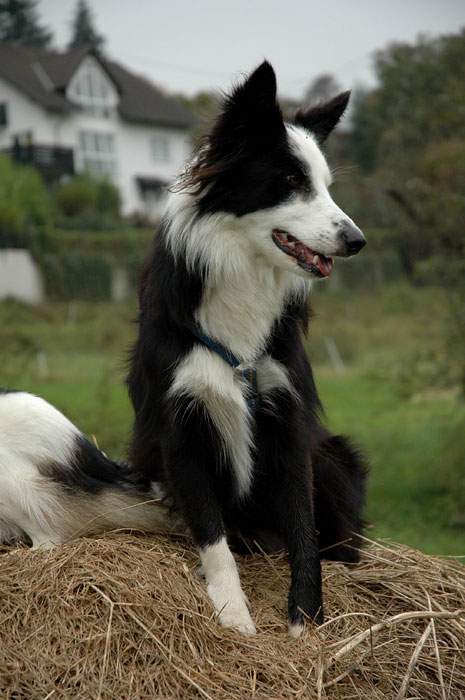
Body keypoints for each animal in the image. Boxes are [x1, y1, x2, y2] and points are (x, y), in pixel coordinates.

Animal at [0, 61, 368, 640]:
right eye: (291, 182)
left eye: (326, 187)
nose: (357, 240)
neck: (242, 280)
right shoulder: (182, 427)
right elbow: (213, 536)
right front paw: (232, 614)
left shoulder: (287, 419)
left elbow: (302, 527)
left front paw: (305, 619)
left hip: (334, 454)